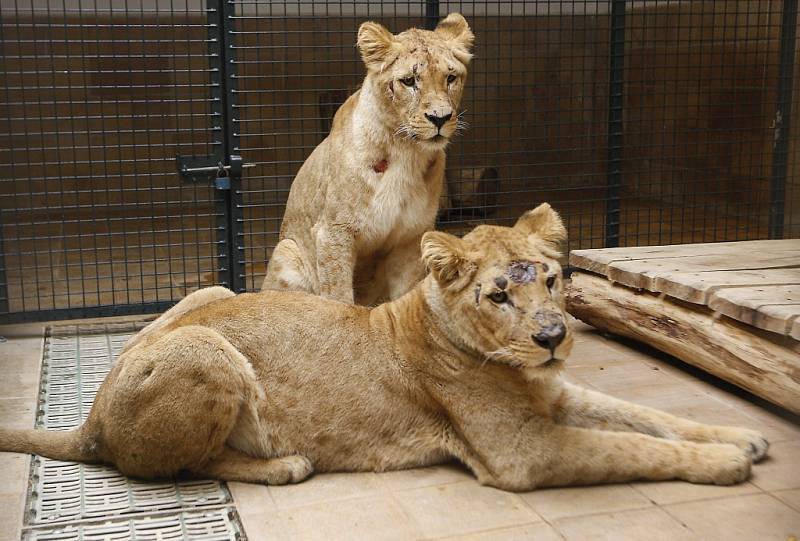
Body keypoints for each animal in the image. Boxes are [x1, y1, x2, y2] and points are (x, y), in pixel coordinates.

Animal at [0, 202, 768, 490]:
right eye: (498, 295)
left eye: (552, 279)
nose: (553, 338)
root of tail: (91, 416)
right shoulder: (521, 453)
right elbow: (632, 447)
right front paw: (727, 461)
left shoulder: (554, 391)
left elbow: (644, 415)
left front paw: (743, 436)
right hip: (207, 352)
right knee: (177, 467)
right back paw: (285, 465)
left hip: (211, 293)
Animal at [262, 13, 476, 304]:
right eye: (409, 81)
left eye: (451, 78)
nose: (440, 118)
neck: (406, 150)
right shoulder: (334, 233)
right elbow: (339, 297)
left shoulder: (410, 237)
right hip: (286, 250)